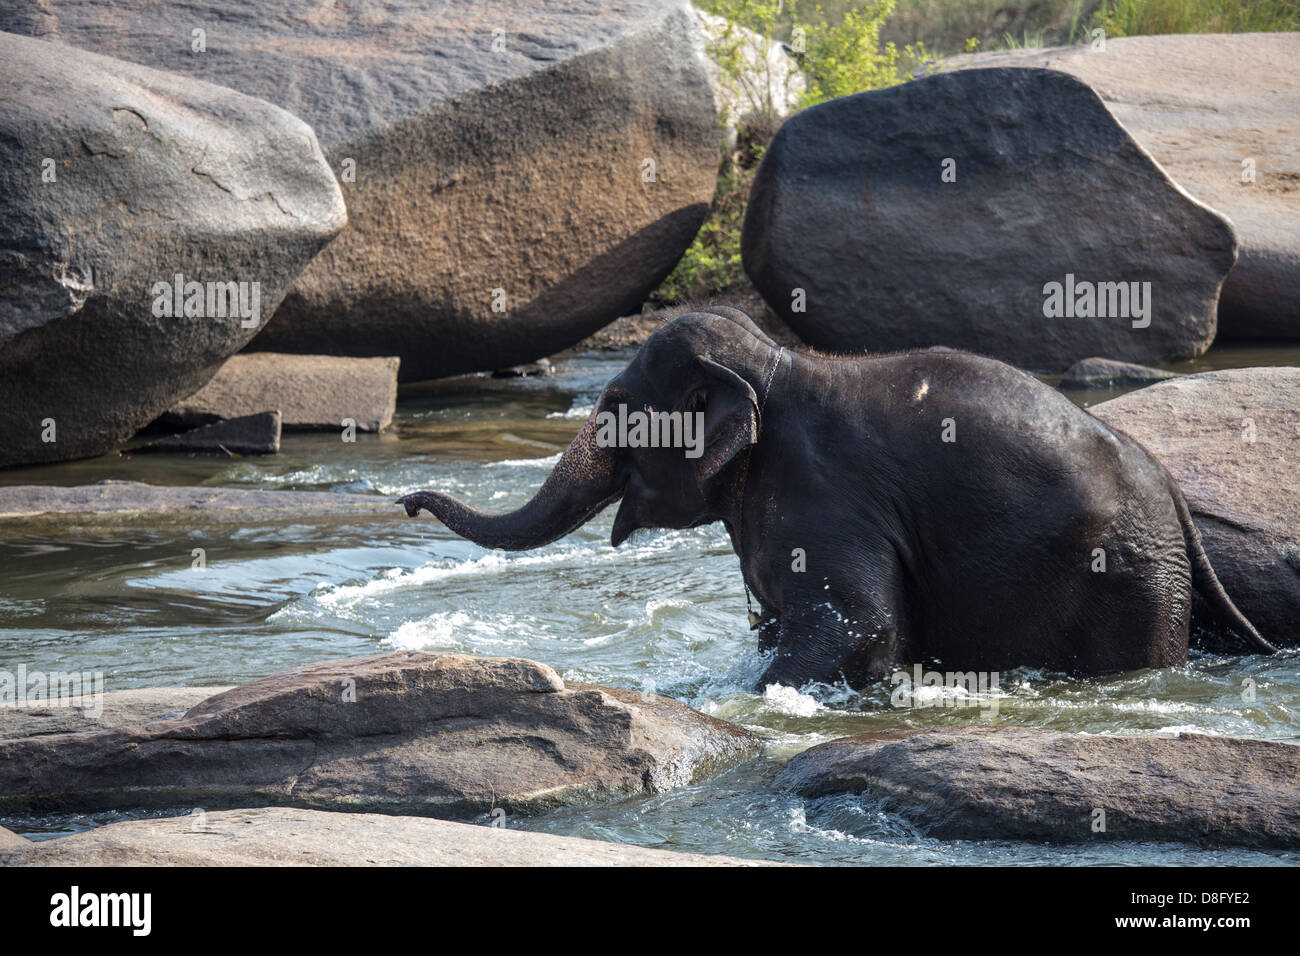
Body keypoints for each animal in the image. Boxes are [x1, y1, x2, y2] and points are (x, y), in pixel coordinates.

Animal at [395, 306, 1268, 686]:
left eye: (614, 409)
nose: (405, 500)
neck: (776, 363)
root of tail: (1176, 500)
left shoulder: (827, 493)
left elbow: (856, 623)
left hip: (1128, 581)